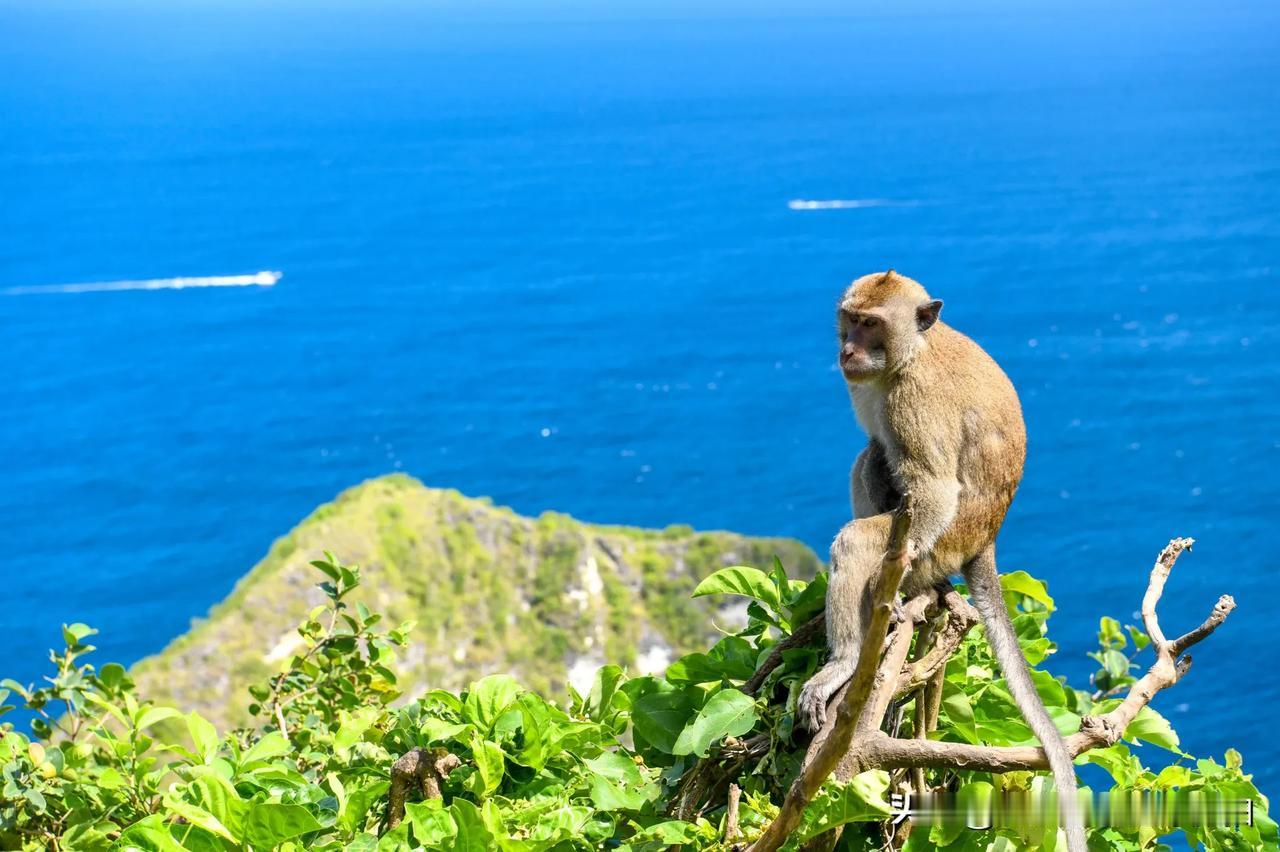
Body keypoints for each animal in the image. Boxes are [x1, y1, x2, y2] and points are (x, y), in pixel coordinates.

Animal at [798, 269, 1080, 844]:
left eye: (871, 324)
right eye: (850, 319)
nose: (847, 349)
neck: (908, 356)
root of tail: (985, 540)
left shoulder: (915, 402)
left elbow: (934, 490)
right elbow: (882, 458)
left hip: (944, 545)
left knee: (862, 538)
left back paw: (850, 656)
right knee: (872, 455)